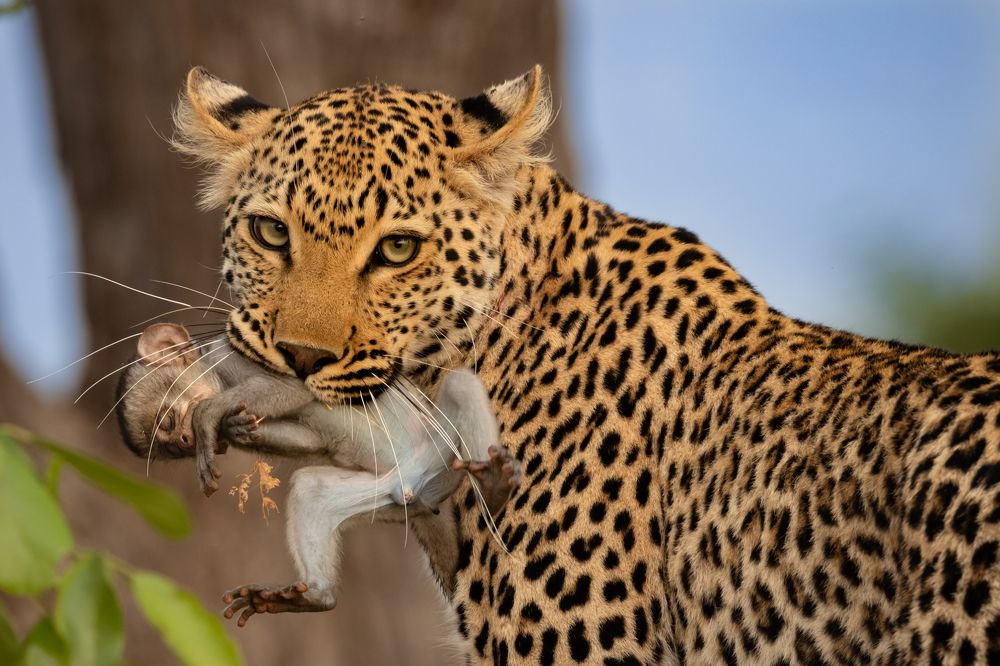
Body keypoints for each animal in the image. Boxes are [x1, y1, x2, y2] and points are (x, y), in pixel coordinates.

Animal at [114, 322, 520, 621]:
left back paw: (493, 485)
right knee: (311, 487)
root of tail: (411, 485)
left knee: (461, 384)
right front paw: (231, 428)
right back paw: (314, 597)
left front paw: (208, 415)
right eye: (174, 448)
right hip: (391, 495)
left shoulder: (230, 357)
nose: (186, 439)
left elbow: (295, 383)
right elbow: (313, 441)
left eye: (170, 421)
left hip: (441, 455)